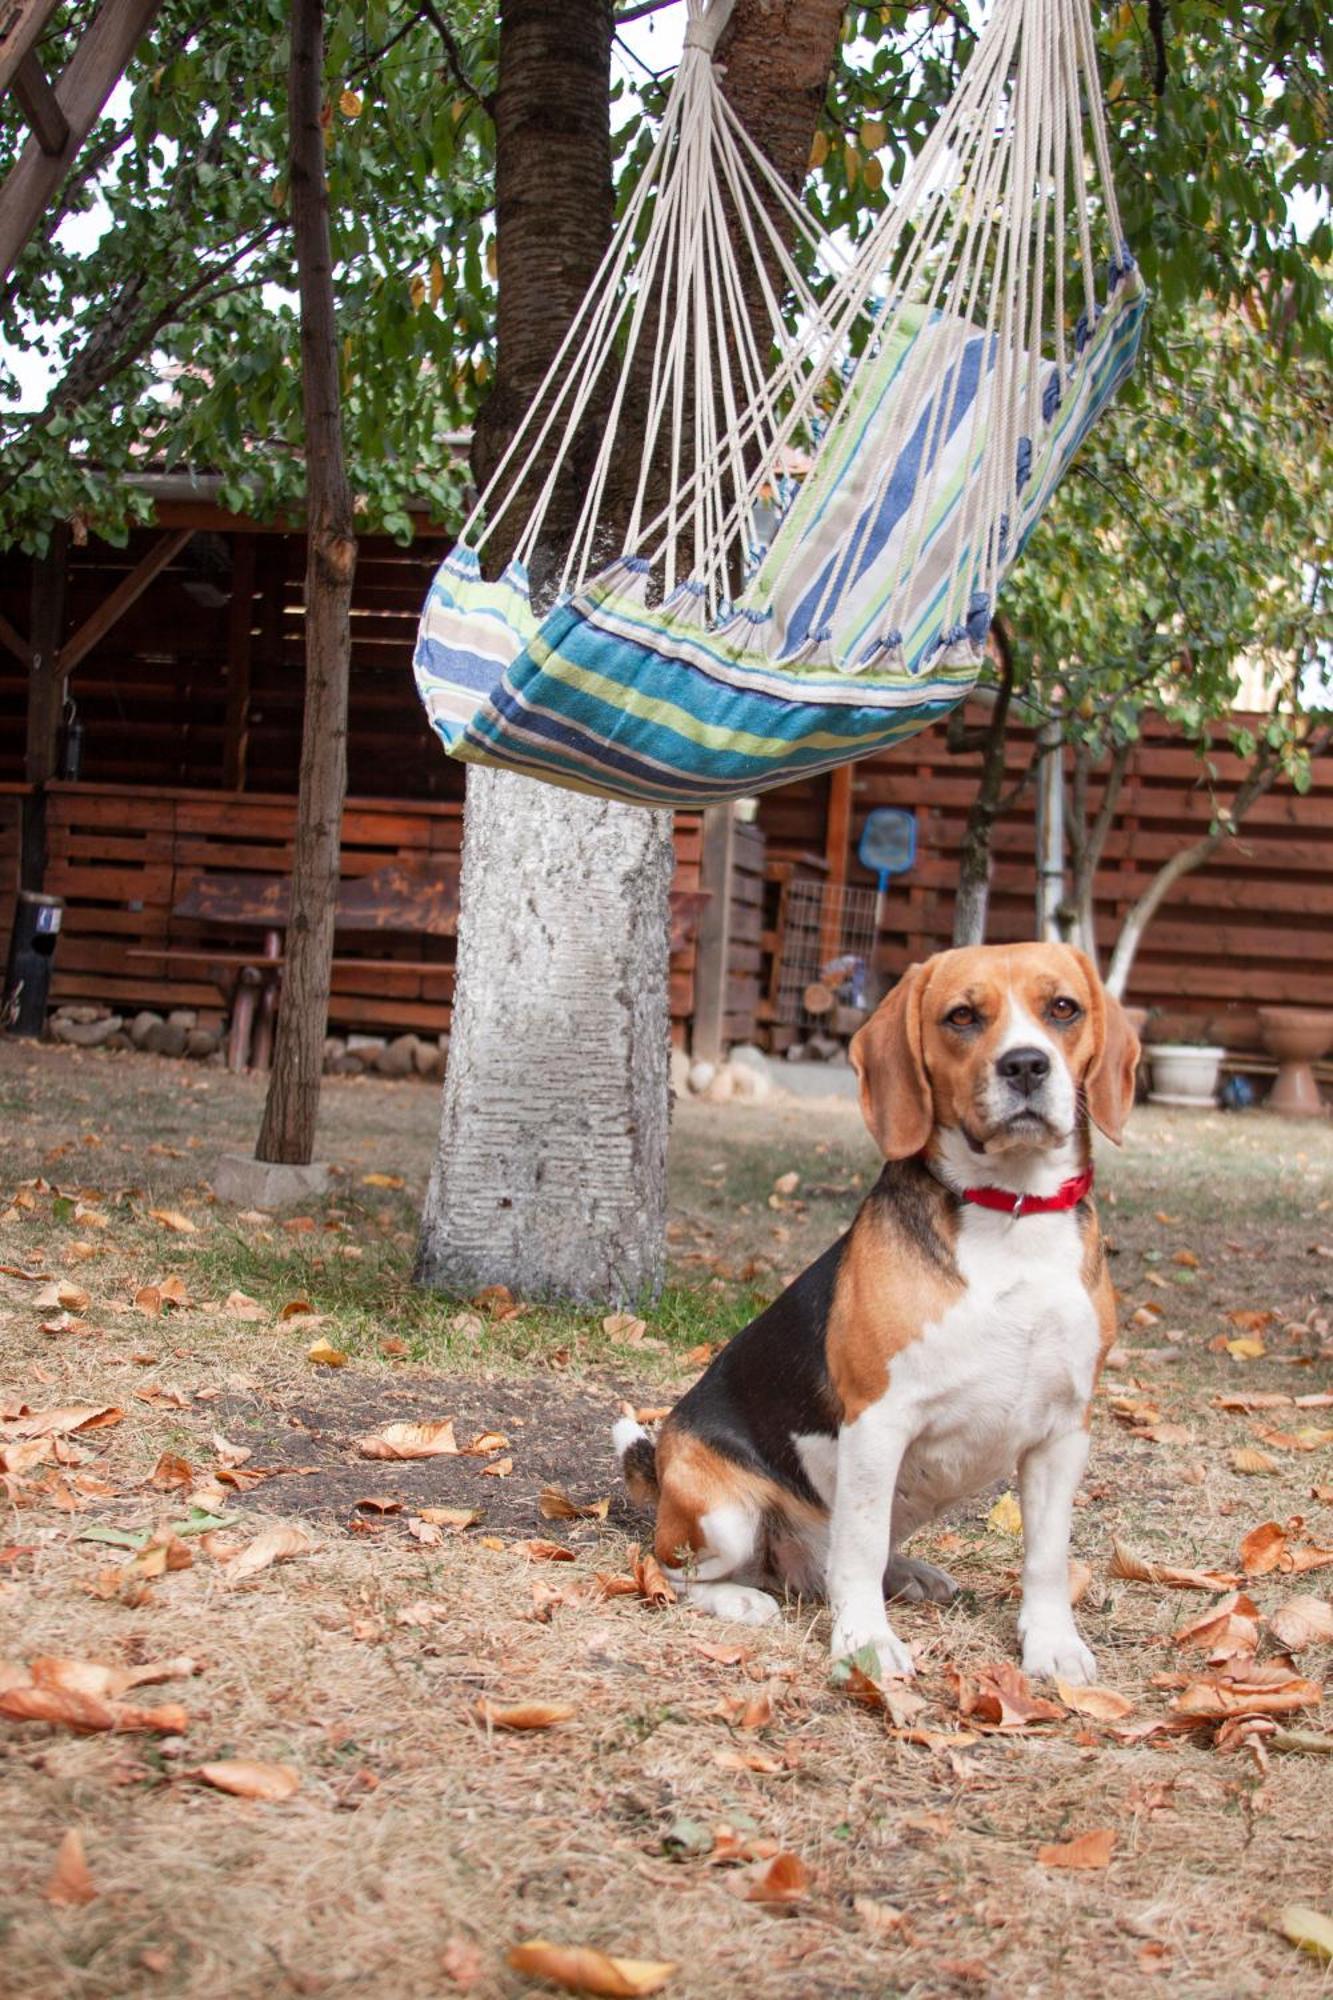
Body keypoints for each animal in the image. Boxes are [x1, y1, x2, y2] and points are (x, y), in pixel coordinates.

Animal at [612, 944, 1128, 1680]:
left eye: (1063, 1008)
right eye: (961, 1016)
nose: (1026, 1064)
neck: (1012, 1212)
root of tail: (660, 1468)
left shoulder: (1063, 1433)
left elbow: (1047, 1558)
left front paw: (1052, 1644)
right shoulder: (877, 1423)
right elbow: (854, 1549)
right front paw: (864, 1643)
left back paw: (907, 1572)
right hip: (721, 1519)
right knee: (674, 1571)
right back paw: (743, 1599)